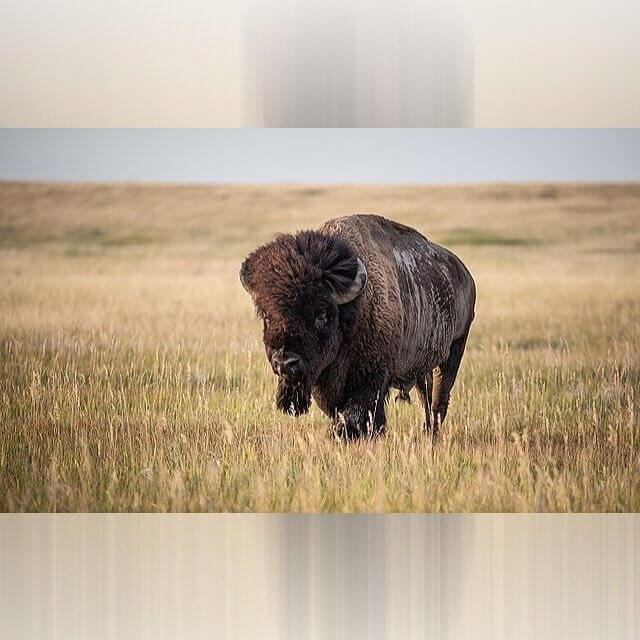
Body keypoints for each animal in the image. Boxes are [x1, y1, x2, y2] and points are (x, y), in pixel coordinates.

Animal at [240, 214, 475, 439]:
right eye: (267, 316)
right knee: (425, 396)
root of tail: (465, 274)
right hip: (422, 366)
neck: (354, 308)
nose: (285, 363)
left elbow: (357, 411)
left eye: (321, 315)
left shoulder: (372, 376)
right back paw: (426, 432)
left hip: (454, 350)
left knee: (439, 399)